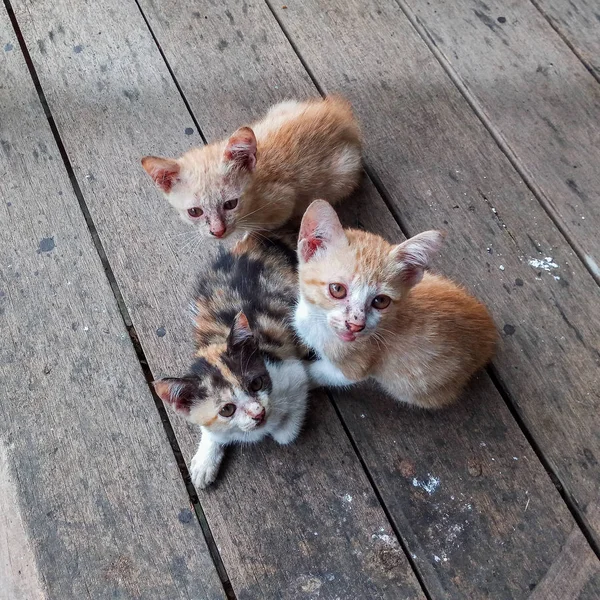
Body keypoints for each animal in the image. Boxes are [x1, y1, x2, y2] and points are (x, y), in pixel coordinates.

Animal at [141, 96, 360, 239]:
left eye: (230, 204)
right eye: (194, 211)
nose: (218, 232)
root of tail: (342, 117)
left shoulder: (283, 201)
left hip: (344, 173)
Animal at [154, 234, 310, 488]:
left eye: (256, 384)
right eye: (227, 409)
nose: (258, 413)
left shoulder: (292, 372)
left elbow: (287, 430)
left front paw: (281, 427)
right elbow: (211, 429)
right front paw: (205, 461)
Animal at [296, 202, 496, 408]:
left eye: (381, 301)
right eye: (337, 289)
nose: (355, 325)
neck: (317, 323)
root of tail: (489, 339)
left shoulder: (355, 366)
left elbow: (319, 373)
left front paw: (299, 375)